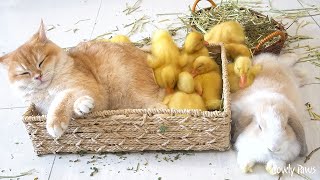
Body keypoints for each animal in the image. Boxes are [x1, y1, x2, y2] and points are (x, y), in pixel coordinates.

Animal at [0, 22, 165, 138]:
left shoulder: (88, 89)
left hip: (135, 94)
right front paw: (80, 107)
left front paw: (56, 121)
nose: (37, 76)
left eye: (41, 62)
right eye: (24, 73)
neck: (48, 91)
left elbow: (64, 97)